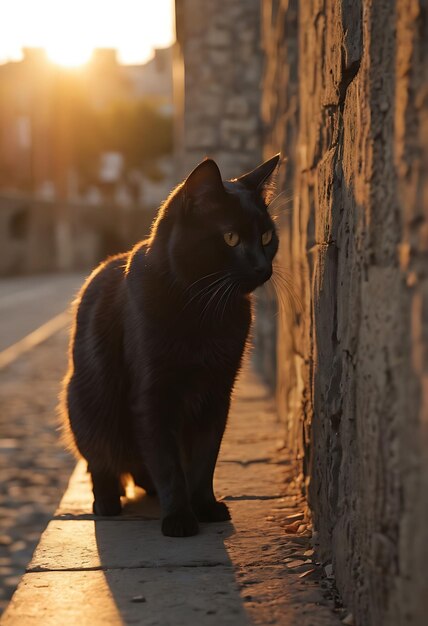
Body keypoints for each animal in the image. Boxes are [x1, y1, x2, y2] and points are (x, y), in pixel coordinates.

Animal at [61, 152, 280, 536]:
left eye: (267, 236)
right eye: (231, 238)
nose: (262, 268)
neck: (205, 310)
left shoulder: (217, 393)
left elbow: (204, 458)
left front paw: (205, 506)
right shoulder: (153, 395)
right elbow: (168, 462)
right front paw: (179, 518)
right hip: (86, 405)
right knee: (100, 462)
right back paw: (107, 502)